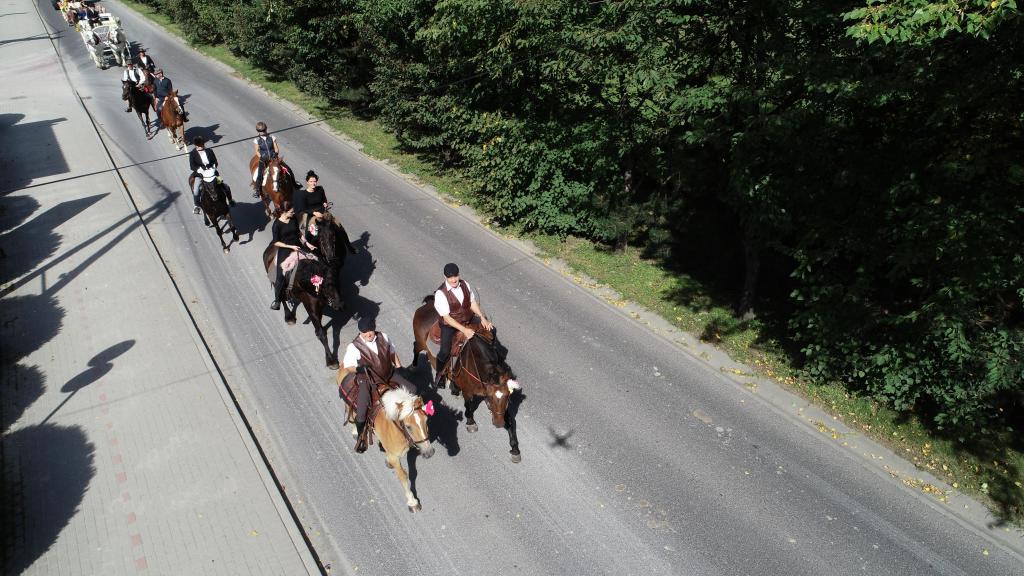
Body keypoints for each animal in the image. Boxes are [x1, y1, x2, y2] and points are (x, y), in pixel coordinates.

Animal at [338, 380, 434, 512]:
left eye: (426, 420)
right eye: (408, 426)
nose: (429, 452)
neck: (396, 428)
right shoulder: (395, 457)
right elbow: (403, 475)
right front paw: (412, 501)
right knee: (352, 413)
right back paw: (356, 433)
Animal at [412, 299, 522, 462]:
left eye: (508, 397)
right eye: (490, 397)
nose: (498, 423)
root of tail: (428, 304)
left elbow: (510, 421)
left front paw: (515, 449)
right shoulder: (469, 391)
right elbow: (468, 406)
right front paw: (471, 423)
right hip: (421, 343)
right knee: (416, 348)